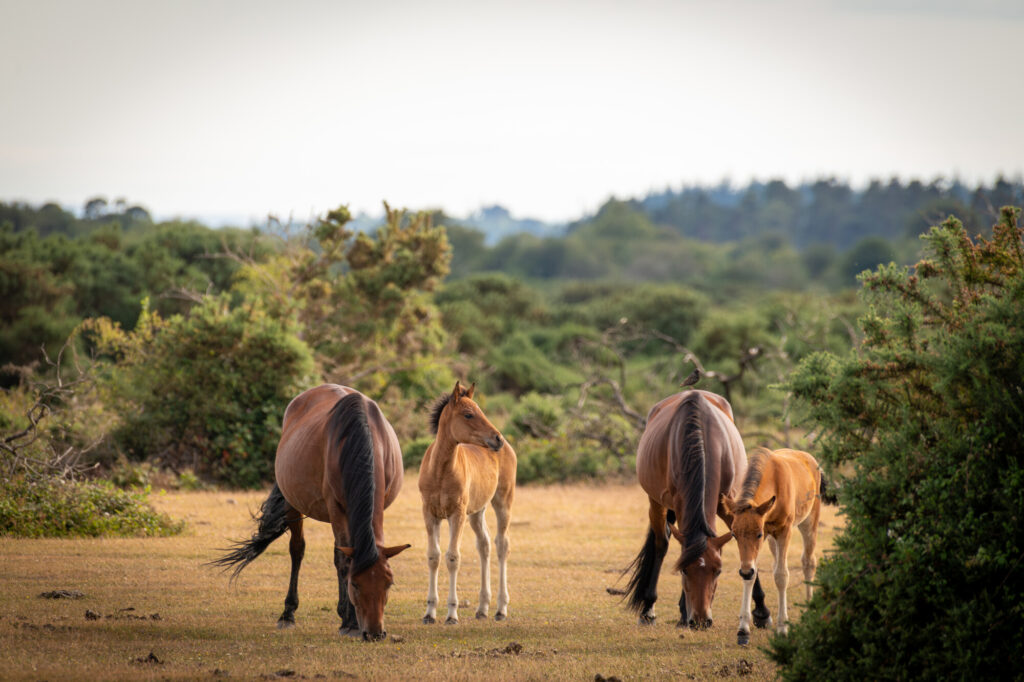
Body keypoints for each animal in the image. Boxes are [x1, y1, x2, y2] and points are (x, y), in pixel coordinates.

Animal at [210, 385, 410, 641]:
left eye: (389, 583)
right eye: (354, 584)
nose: (375, 633)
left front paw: (348, 618)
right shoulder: (336, 508)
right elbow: (343, 562)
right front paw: (350, 623)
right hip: (292, 504)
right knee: (297, 550)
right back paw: (288, 614)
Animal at [418, 381, 516, 625]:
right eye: (469, 414)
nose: (497, 439)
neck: (440, 471)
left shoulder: (457, 514)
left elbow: (453, 557)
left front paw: (452, 614)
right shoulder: (429, 513)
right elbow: (433, 556)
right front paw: (429, 613)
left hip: (503, 501)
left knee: (502, 544)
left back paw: (501, 609)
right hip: (477, 512)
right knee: (484, 545)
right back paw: (482, 609)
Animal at [624, 389, 771, 630]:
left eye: (718, 570)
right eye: (684, 570)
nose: (702, 620)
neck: (700, 439)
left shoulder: (729, 502)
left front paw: (762, 612)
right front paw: (683, 612)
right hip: (656, 503)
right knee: (661, 544)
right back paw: (649, 610)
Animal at [721, 447, 826, 645]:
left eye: (758, 534)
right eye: (733, 534)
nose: (744, 571)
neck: (773, 479)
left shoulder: (783, 531)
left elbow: (781, 575)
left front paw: (783, 629)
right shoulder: (766, 536)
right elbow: (753, 574)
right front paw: (743, 630)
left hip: (809, 521)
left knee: (808, 561)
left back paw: (809, 608)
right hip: (772, 540)